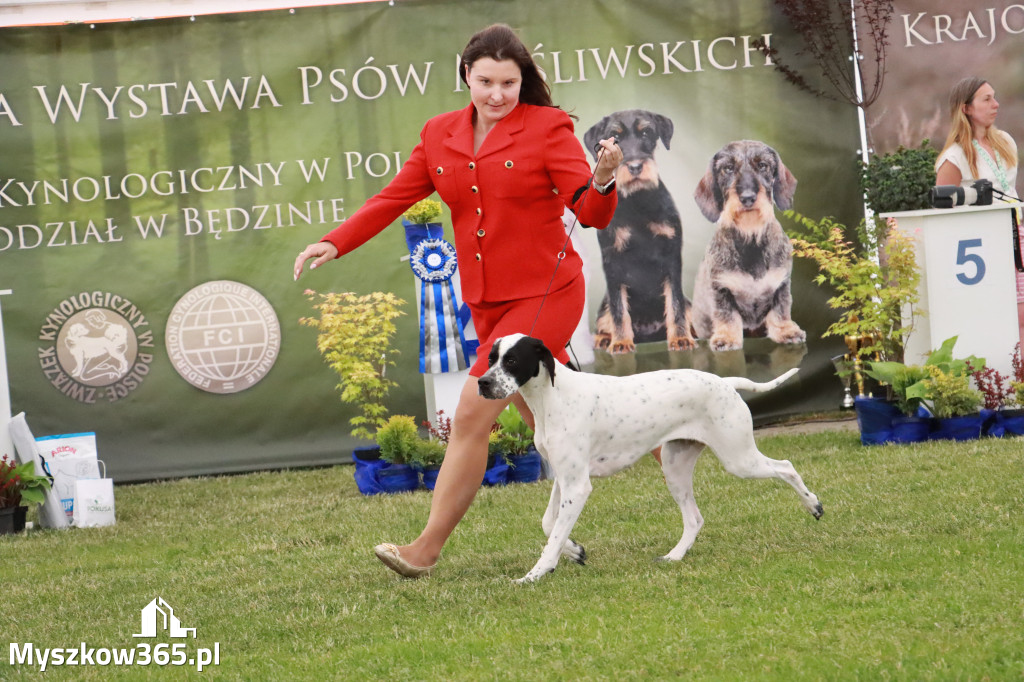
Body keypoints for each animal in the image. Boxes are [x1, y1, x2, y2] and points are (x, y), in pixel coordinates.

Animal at [479, 331, 823, 581]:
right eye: (490, 358)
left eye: (511, 360)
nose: (482, 382)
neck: (552, 397)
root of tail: (724, 382)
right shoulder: (564, 480)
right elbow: (549, 524)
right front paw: (574, 551)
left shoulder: (577, 485)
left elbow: (551, 538)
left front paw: (536, 574)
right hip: (675, 468)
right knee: (695, 519)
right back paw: (674, 556)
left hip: (739, 460)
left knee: (786, 467)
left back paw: (813, 504)